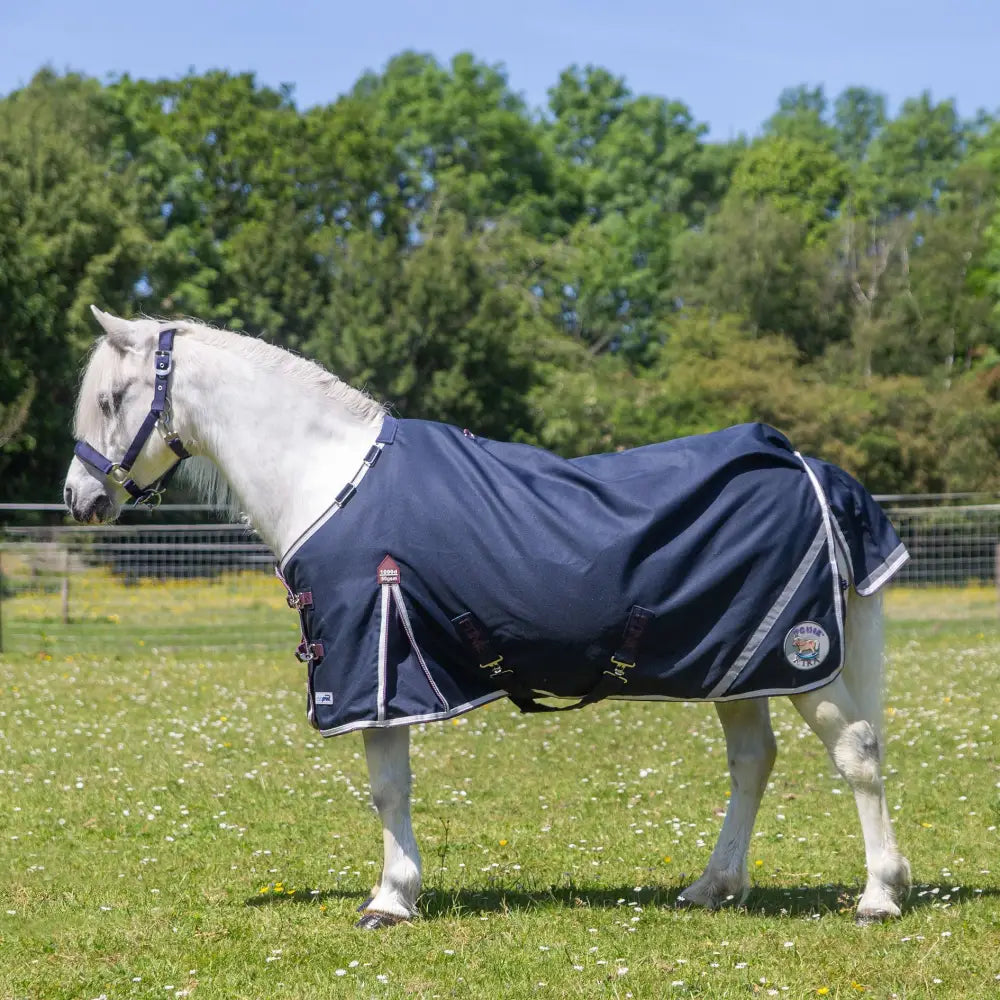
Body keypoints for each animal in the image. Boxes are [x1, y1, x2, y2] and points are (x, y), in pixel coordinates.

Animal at [64, 307, 911, 929]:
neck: (329, 477)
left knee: (858, 753)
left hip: (804, 661)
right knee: (753, 762)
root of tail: (811, 469)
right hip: (741, 663)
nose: (80, 497)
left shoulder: (376, 670)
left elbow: (387, 789)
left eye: (110, 401)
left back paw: (879, 895)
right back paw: (713, 886)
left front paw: (390, 900)